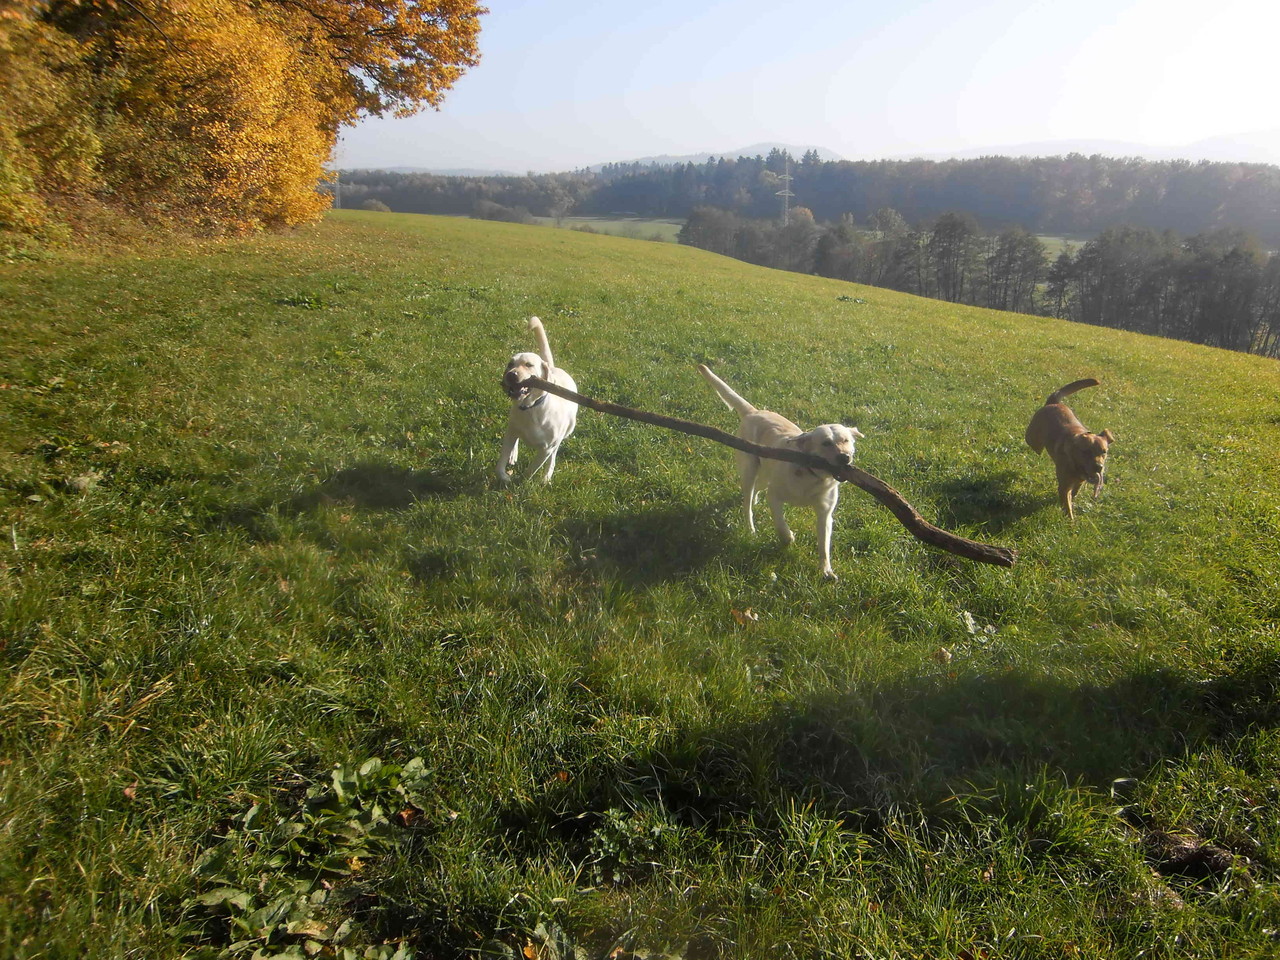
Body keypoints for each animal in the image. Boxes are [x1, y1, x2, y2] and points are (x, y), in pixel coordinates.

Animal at [499, 317, 581, 483]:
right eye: (510, 364)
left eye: (529, 365)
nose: (511, 374)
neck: (531, 408)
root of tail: (553, 367)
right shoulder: (510, 433)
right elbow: (501, 460)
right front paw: (505, 476)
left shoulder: (546, 449)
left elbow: (531, 470)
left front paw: (522, 482)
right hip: (513, 425)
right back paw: (513, 454)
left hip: (568, 430)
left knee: (554, 454)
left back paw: (547, 476)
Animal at [696, 366, 865, 578]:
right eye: (826, 443)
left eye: (846, 440)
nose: (845, 458)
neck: (810, 475)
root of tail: (754, 411)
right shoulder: (775, 496)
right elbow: (779, 522)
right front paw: (787, 538)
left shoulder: (825, 513)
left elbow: (823, 545)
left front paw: (826, 571)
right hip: (749, 469)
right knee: (746, 503)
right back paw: (750, 527)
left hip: (764, 471)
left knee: (756, 489)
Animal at [1024, 378, 1116, 522]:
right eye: (1086, 451)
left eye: (1104, 452)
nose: (1099, 467)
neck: (1076, 466)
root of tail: (1054, 402)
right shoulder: (1064, 486)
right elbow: (1067, 506)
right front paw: (1070, 521)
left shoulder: (1079, 482)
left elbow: (1074, 493)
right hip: (1033, 438)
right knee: (1033, 443)